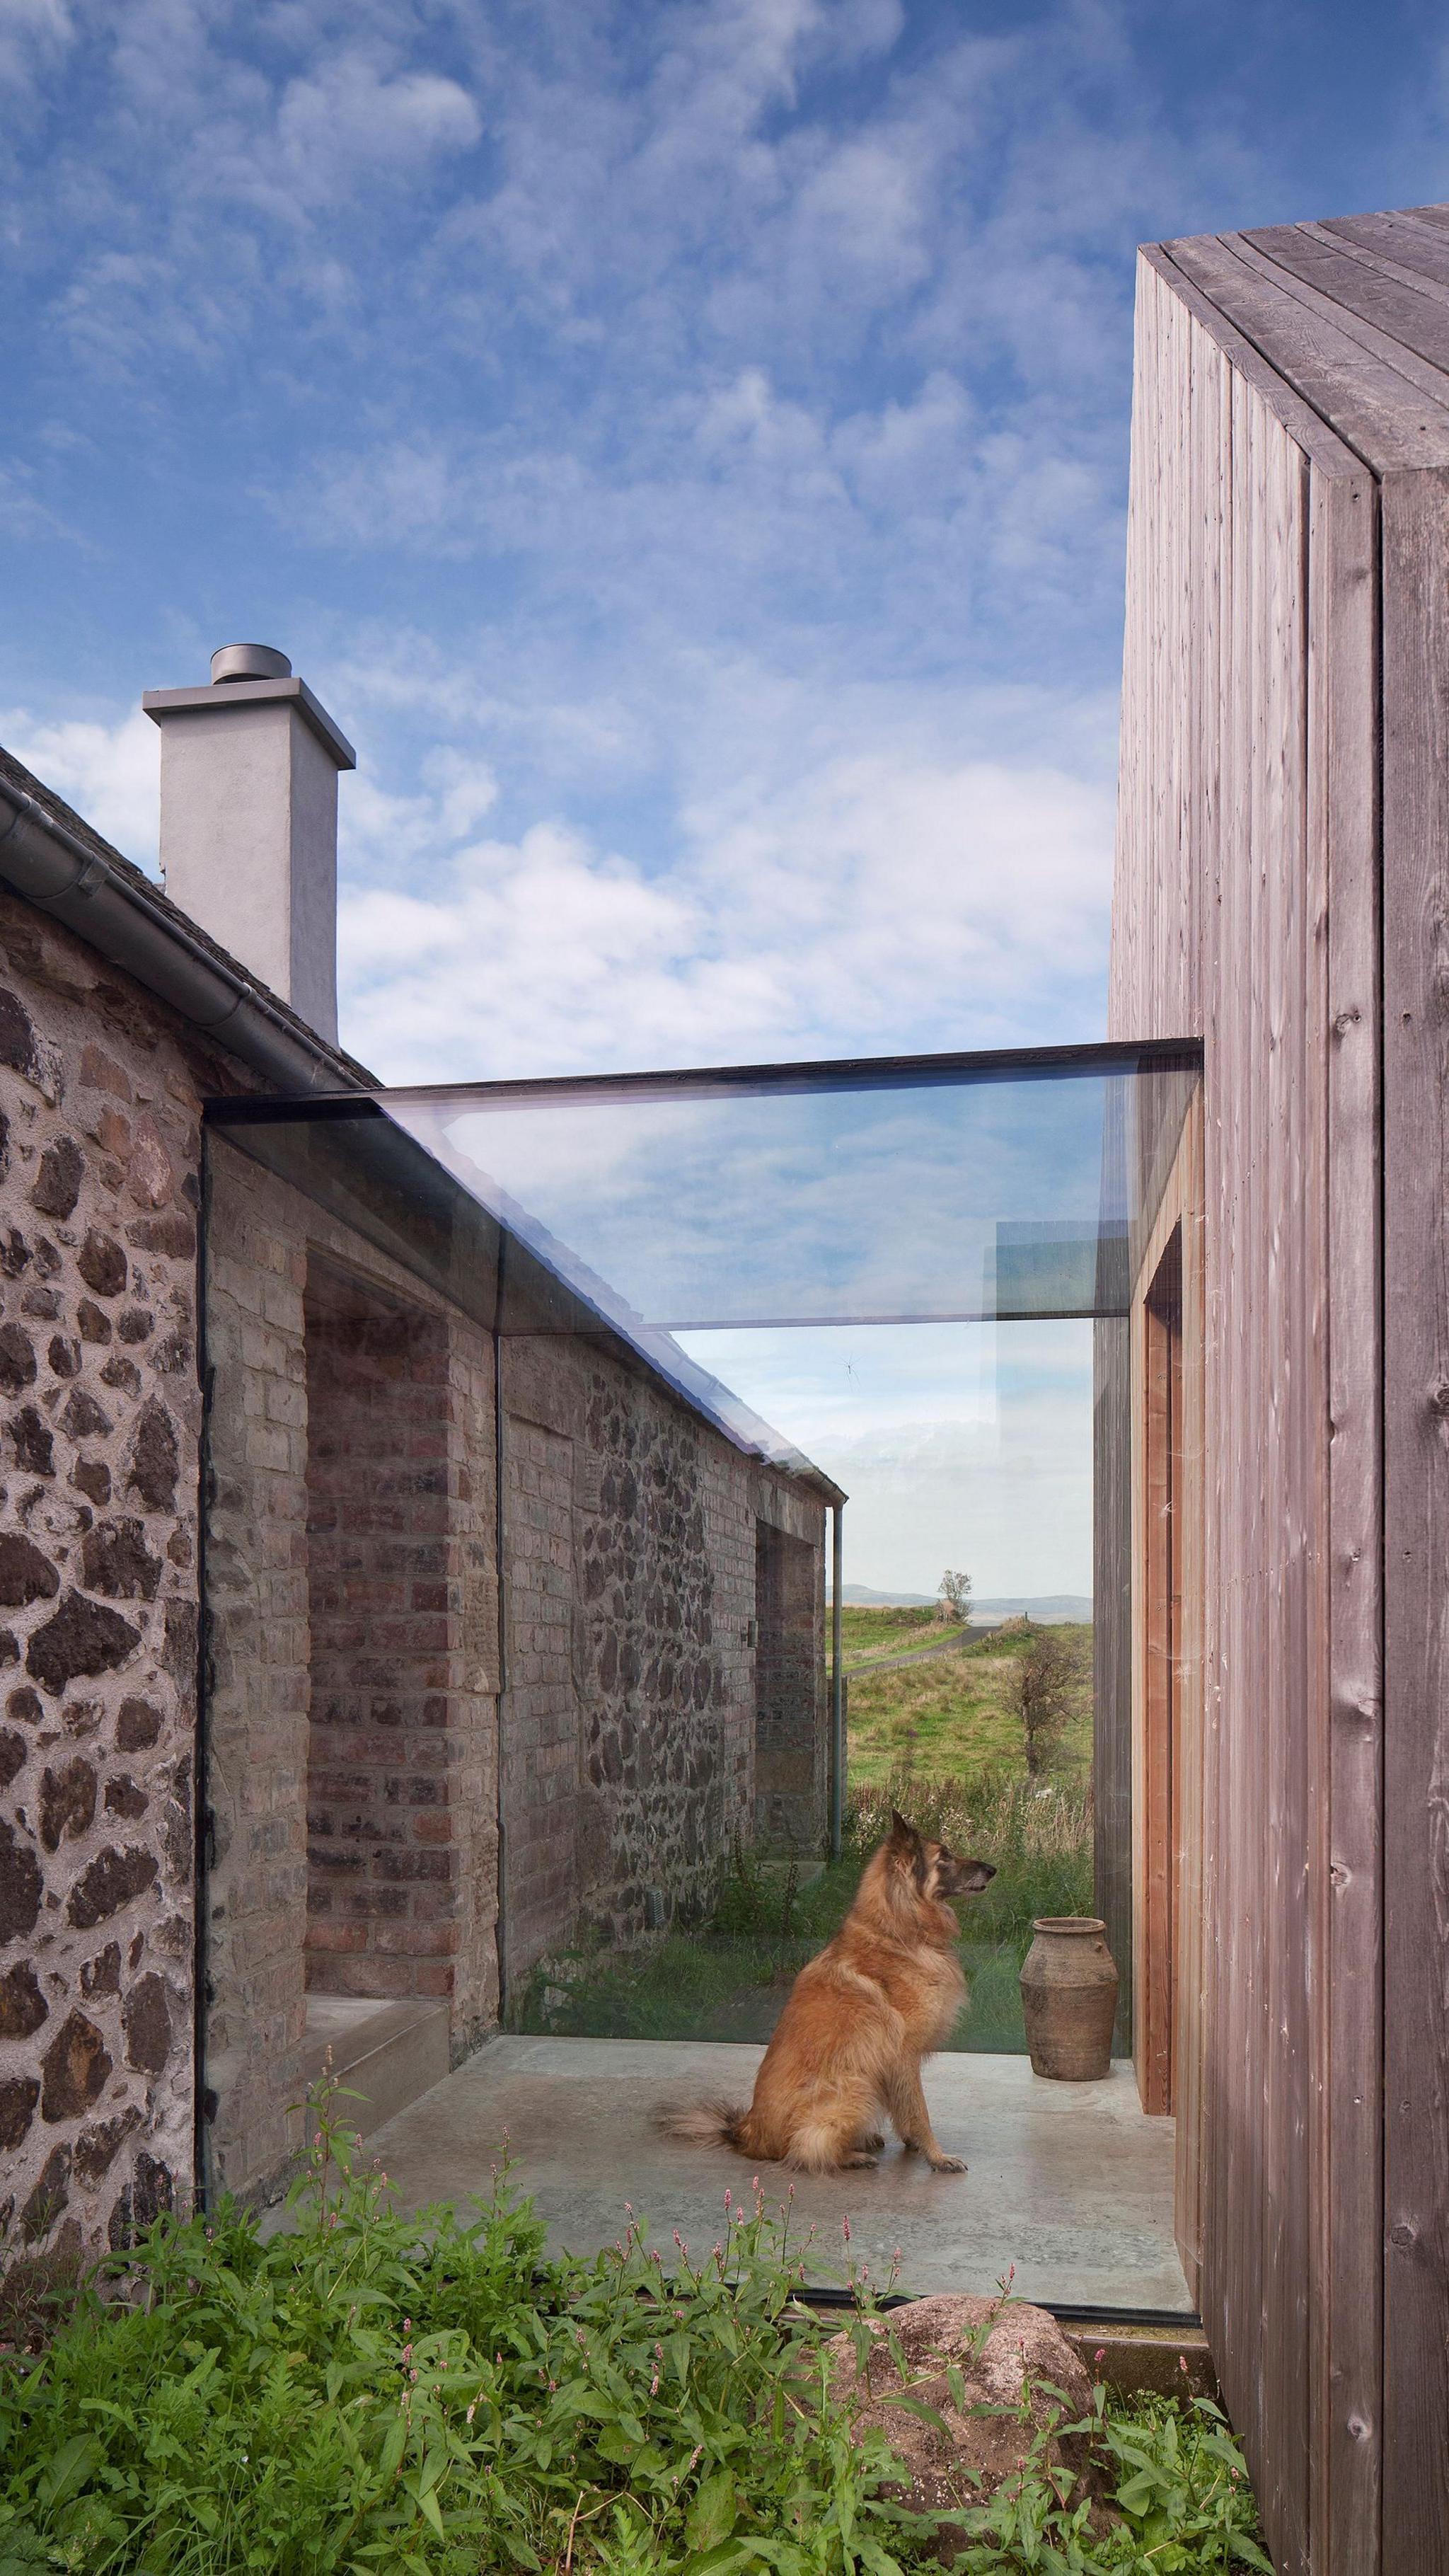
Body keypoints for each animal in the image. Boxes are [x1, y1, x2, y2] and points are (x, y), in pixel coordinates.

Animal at [659, 1813, 993, 2174]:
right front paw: (937, 2156)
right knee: (807, 2149)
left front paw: (915, 2145)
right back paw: (854, 2155)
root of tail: (745, 2133)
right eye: (944, 1857)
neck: (898, 1930)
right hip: (856, 2086)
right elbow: (919, 2112)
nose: (993, 1870)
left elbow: (905, 2110)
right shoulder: (903, 2057)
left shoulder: (894, 2066)